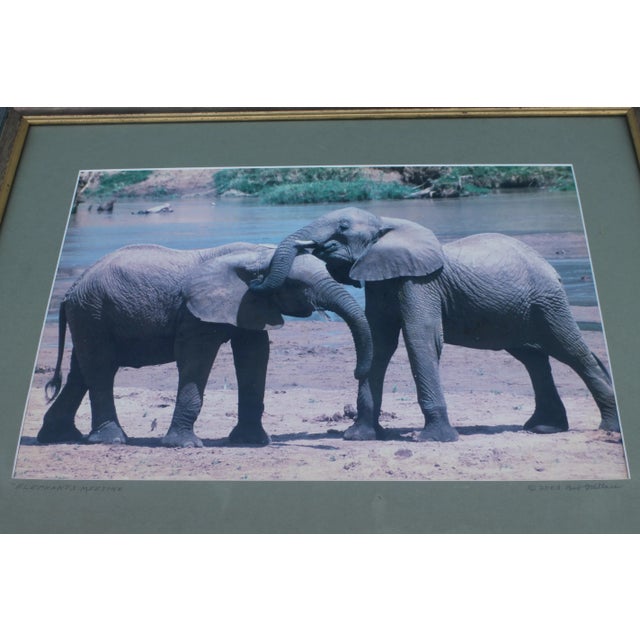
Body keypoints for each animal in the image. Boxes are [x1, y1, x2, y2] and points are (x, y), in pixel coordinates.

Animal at [37, 242, 373, 448]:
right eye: (297, 284)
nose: (358, 372)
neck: (255, 255)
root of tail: (72, 290)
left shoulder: (248, 304)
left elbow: (254, 355)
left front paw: (251, 442)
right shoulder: (195, 315)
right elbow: (196, 358)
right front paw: (184, 445)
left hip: (90, 315)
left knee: (81, 373)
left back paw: (58, 436)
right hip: (92, 313)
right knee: (101, 369)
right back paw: (111, 440)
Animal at [250, 207, 620, 442]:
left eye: (342, 227)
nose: (255, 282)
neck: (387, 223)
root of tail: (551, 267)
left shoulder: (420, 282)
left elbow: (421, 338)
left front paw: (432, 439)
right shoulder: (383, 281)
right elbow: (380, 342)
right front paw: (358, 437)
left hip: (547, 301)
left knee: (572, 352)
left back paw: (609, 429)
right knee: (533, 356)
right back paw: (543, 429)